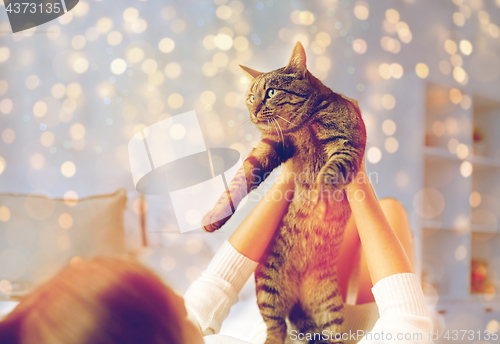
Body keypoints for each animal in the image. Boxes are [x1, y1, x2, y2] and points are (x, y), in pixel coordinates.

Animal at [202, 41, 368, 342]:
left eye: (270, 92)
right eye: (250, 97)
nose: (254, 110)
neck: (304, 125)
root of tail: (300, 300)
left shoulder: (345, 142)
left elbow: (331, 172)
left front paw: (322, 198)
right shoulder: (269, 147)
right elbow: (239, 182)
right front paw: (216, 216)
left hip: (331, 310)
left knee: (329, 334)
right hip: (269, 287)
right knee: (276, 329)